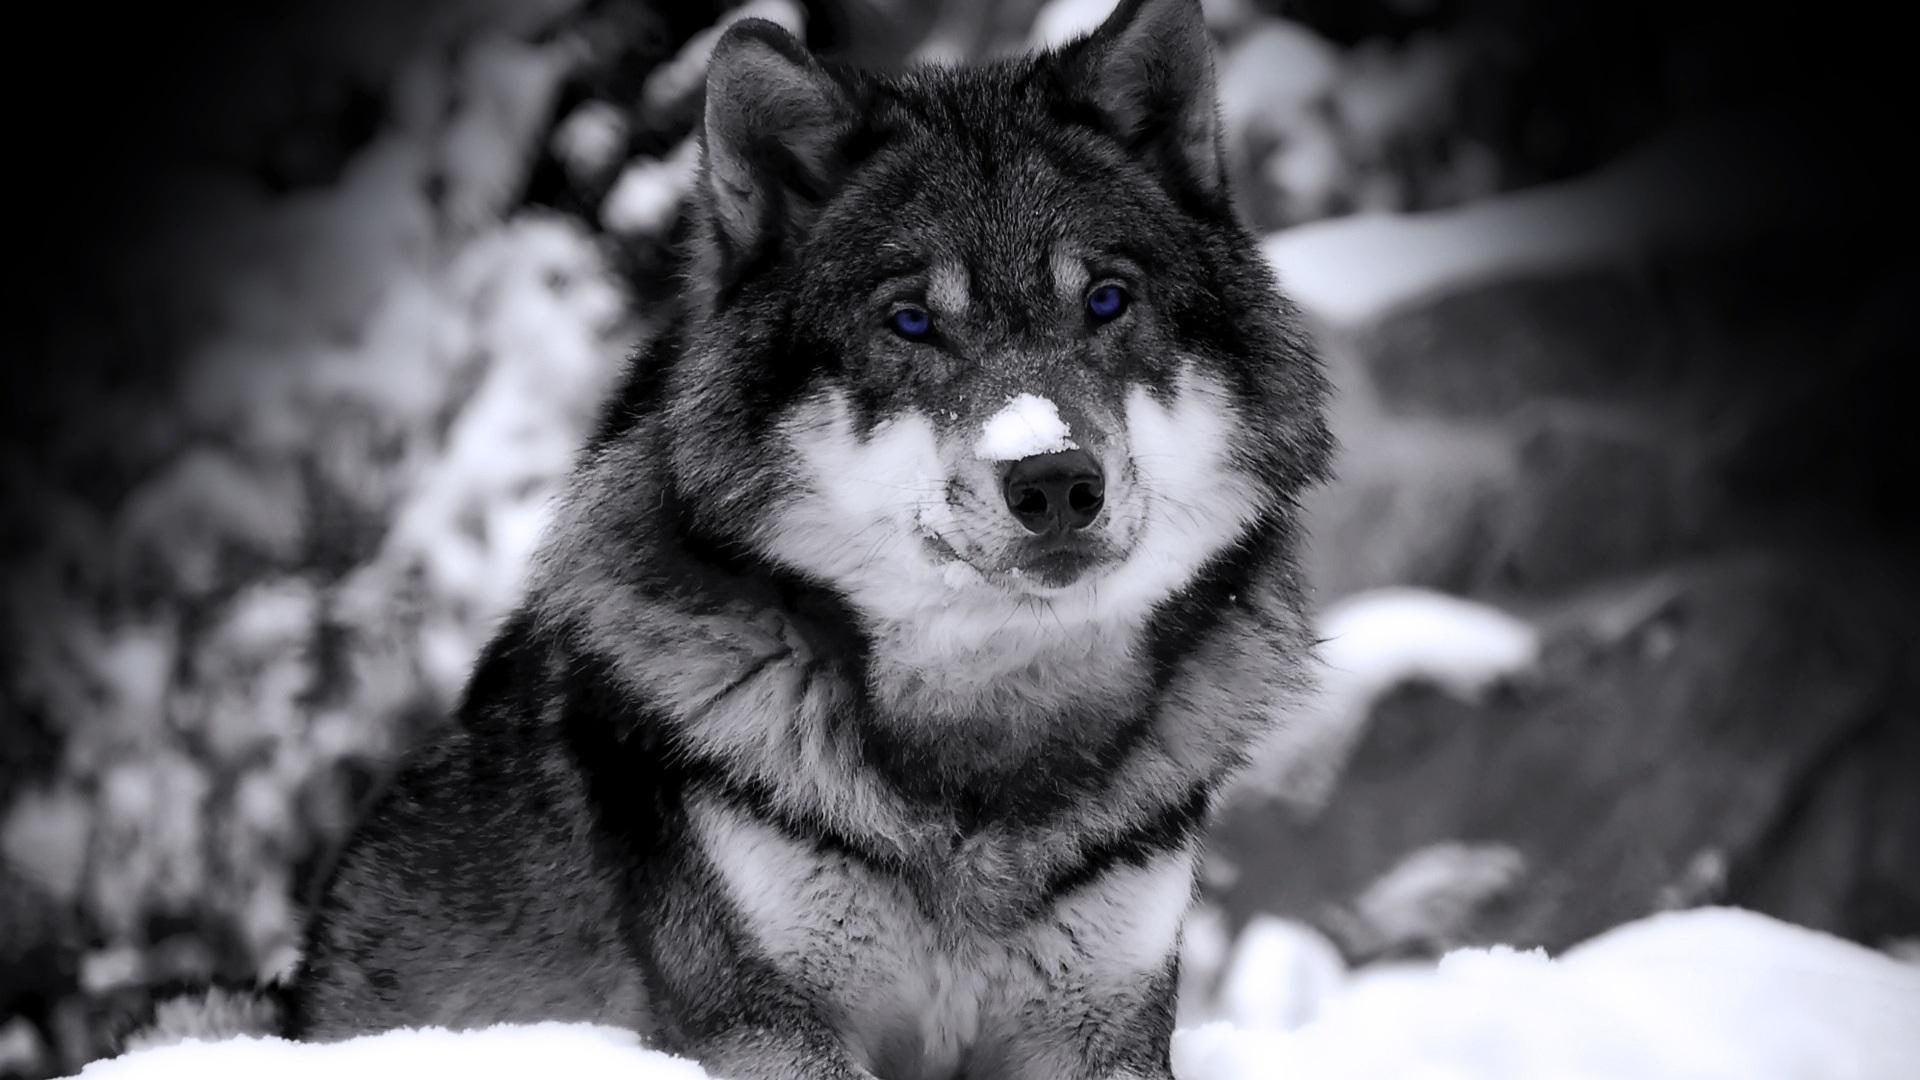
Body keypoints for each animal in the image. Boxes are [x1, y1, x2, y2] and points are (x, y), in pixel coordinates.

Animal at [134, 0, 1333, 1076]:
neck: (980, 760)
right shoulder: (767, 1023)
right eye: (910, 323)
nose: (1053, 480)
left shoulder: (1104, 1028)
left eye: (1108, 302)